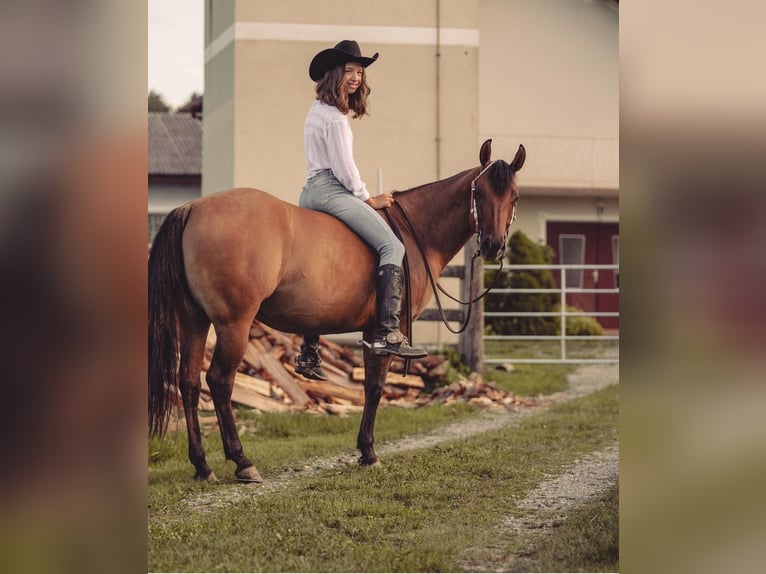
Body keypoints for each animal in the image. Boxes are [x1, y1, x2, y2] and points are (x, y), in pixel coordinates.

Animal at [148, 140, 524, 482]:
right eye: (479, 192)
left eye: (514, 197)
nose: (492, 245)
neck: (415, 232)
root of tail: (193, 208)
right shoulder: (381, 333)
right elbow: (375, 387)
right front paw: (368, 451)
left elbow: (371, 386)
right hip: (232, 325)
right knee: (219, 381)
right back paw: (242, 461)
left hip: (193, 320)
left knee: (188, 382)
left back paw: (202, 465)